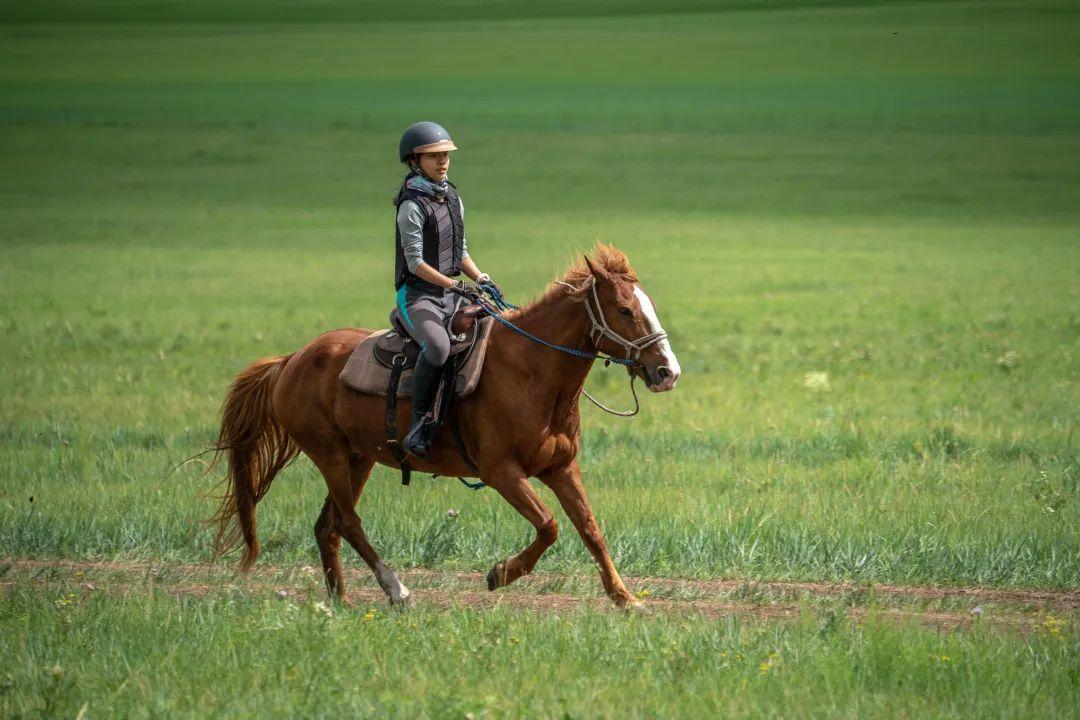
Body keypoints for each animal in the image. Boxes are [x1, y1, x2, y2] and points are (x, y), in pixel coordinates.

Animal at [206, 245, 678, 613]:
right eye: (624, 310)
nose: (667, 371)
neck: (529, 371)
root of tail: (292, 360)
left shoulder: (561, 468)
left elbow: (590, 530)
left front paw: (625, 599)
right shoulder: (502, 473)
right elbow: (549, 526)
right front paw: (499, 574)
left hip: (358, 460)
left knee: (329, 526)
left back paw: (340, 600)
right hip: (331, 456)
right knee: (349, 522)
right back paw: (396, 590)